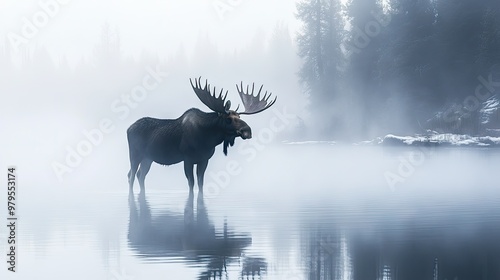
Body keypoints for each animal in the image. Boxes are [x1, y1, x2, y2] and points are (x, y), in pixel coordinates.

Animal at [126, 77, 278, 192]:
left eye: (239, 117)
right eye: (228, 119)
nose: (247, 131)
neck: (207, 139)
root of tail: (128, 128)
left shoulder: (204, 159)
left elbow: (200, 183)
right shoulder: (187, 159)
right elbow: (191, 183)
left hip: (148, 157)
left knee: (140, 175)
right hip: (135, 154)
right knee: (131, 175)